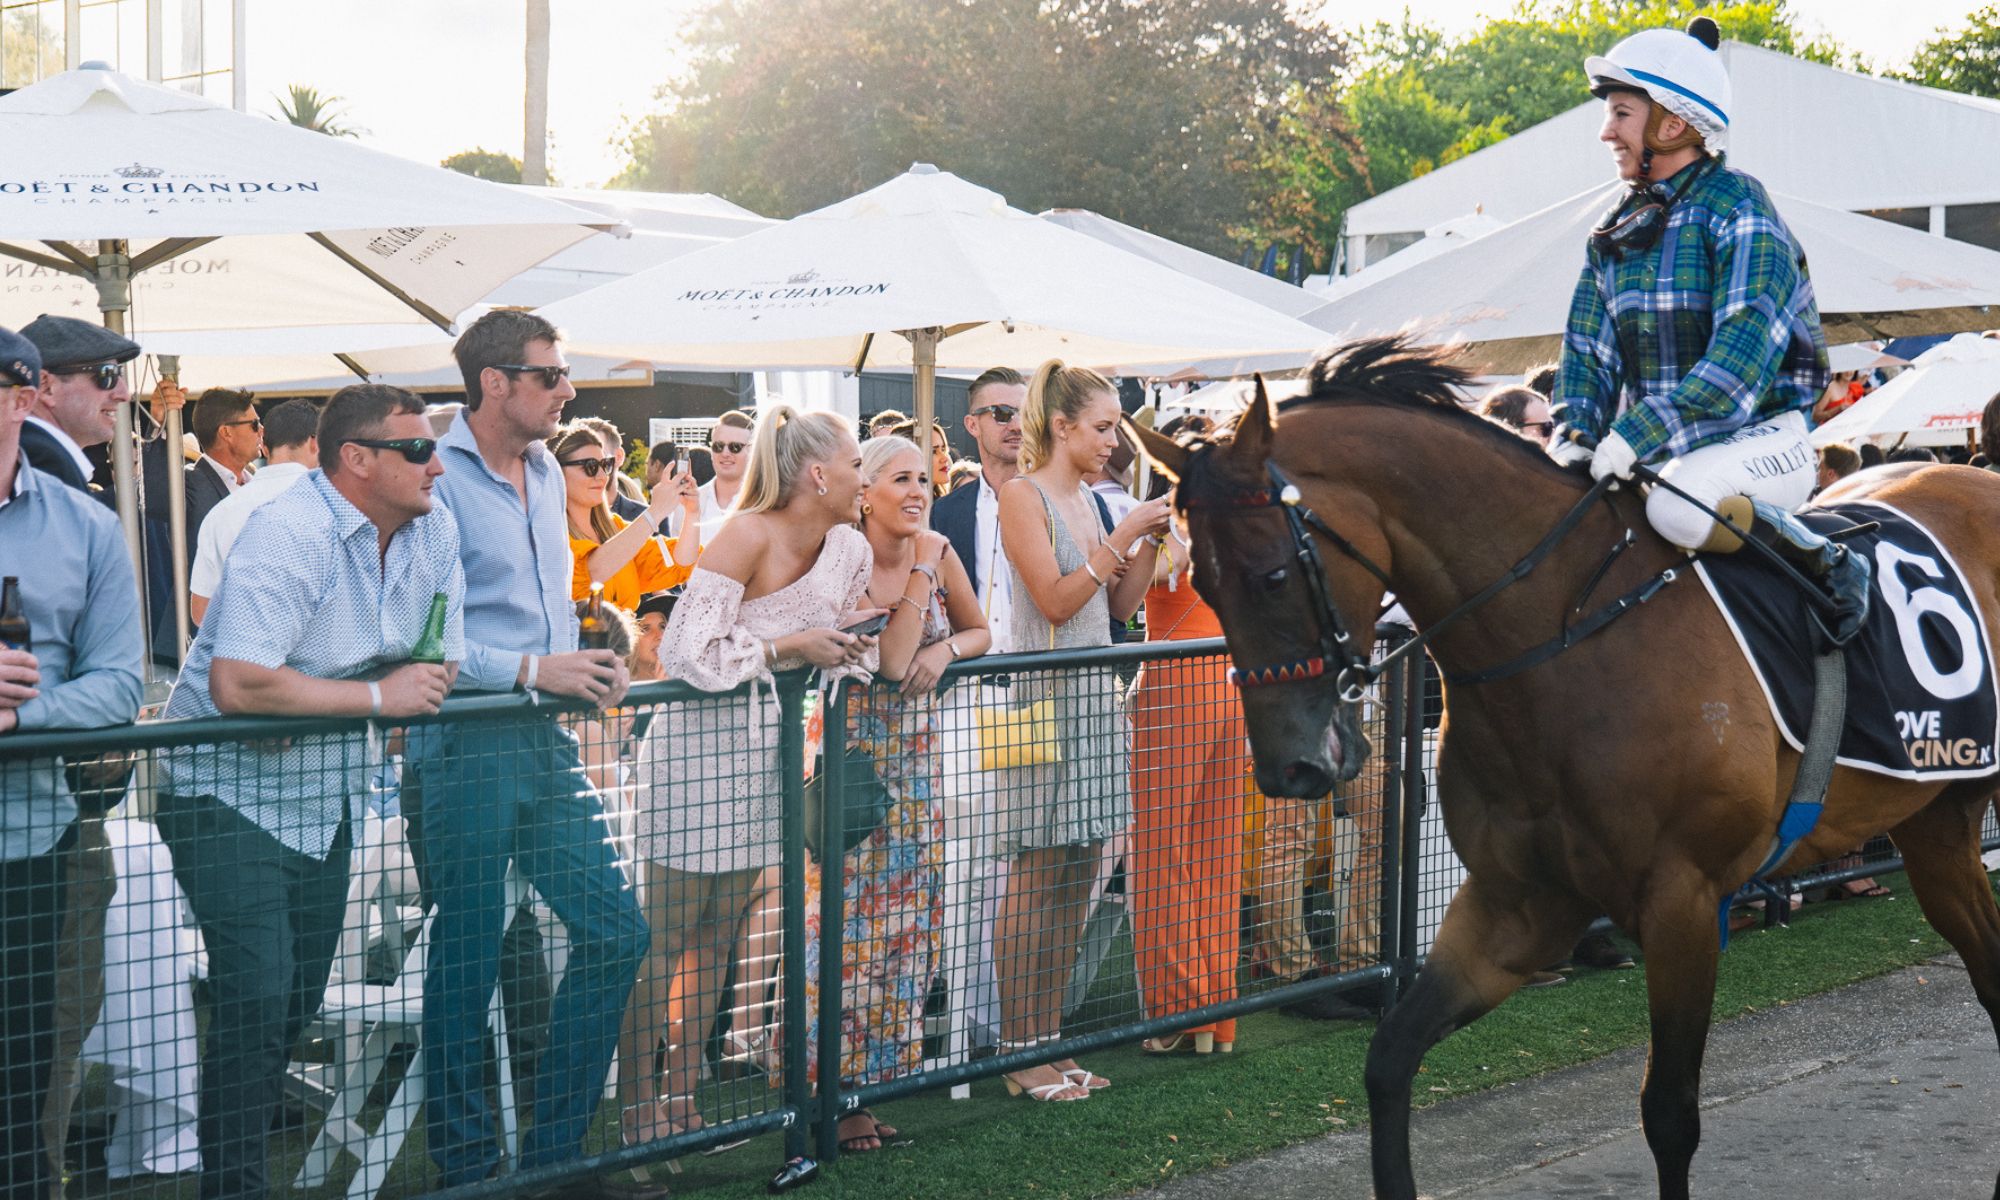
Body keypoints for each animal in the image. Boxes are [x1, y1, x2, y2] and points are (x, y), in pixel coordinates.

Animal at [1136, 338, 2000, 1200]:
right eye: (1200, 583)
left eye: (1273, 575)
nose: (1290, 768)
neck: (1567, 643)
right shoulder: (1521, 902)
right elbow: (1389, 1061)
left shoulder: (1683, 900)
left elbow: (1670, 1115)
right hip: (1935, 821)